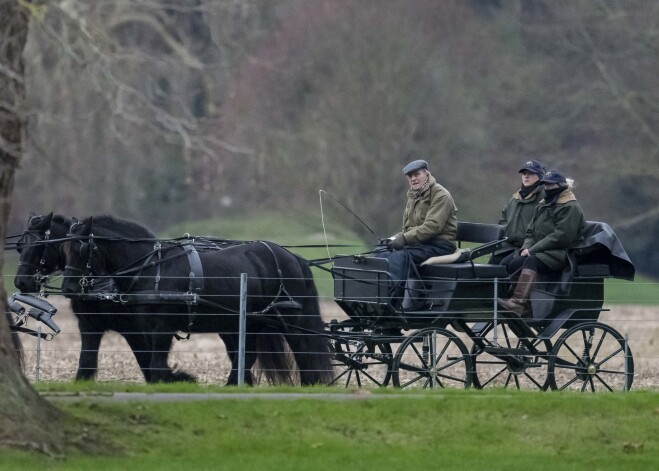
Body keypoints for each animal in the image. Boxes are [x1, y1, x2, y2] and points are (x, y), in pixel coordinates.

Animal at [12, 212, 191, 382]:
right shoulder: (90, 324)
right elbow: (86, 362)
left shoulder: (133, 328)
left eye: (38, 247)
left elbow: (146, 361)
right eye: (20, 246)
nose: (21, 282)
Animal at [62, 216, 336, 386]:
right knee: (247, 355)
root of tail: (293, 257)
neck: (152, 267)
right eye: (64, 249)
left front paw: (180, 378)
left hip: (291, 318)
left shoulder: (162, 325)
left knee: (304, 348)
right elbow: (150, 362)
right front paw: (178, 378)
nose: (68, 288)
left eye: (81, 249)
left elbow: (157, 365)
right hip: (249, 321)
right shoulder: (142, 326)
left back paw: (309, 383)